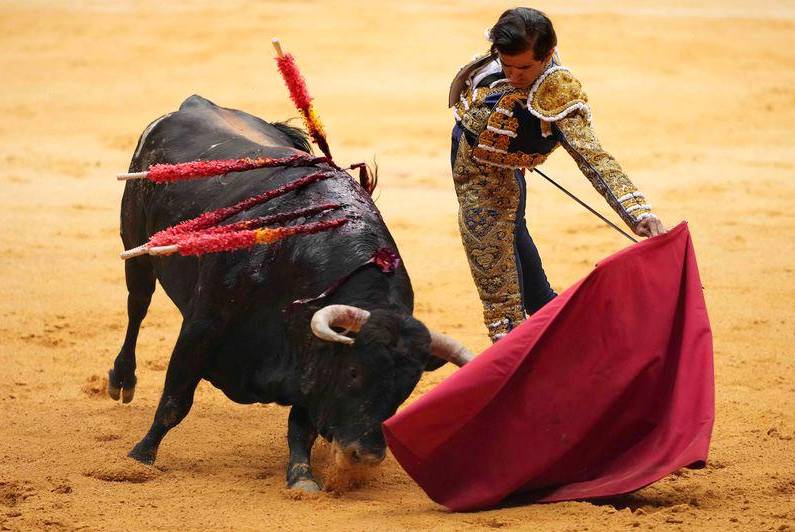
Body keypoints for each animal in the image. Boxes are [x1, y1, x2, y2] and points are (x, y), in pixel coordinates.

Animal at [108, 95, 472, 492]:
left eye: (407, 388)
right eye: (354, 373)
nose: (366, 455)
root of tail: (196, 103)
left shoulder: (310, 358)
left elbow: (301, 426)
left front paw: (302, 477)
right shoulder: (203, 326)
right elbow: (175, 399)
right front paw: (140, 457)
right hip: (136, 246)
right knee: (137, 304)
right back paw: (121, 381)